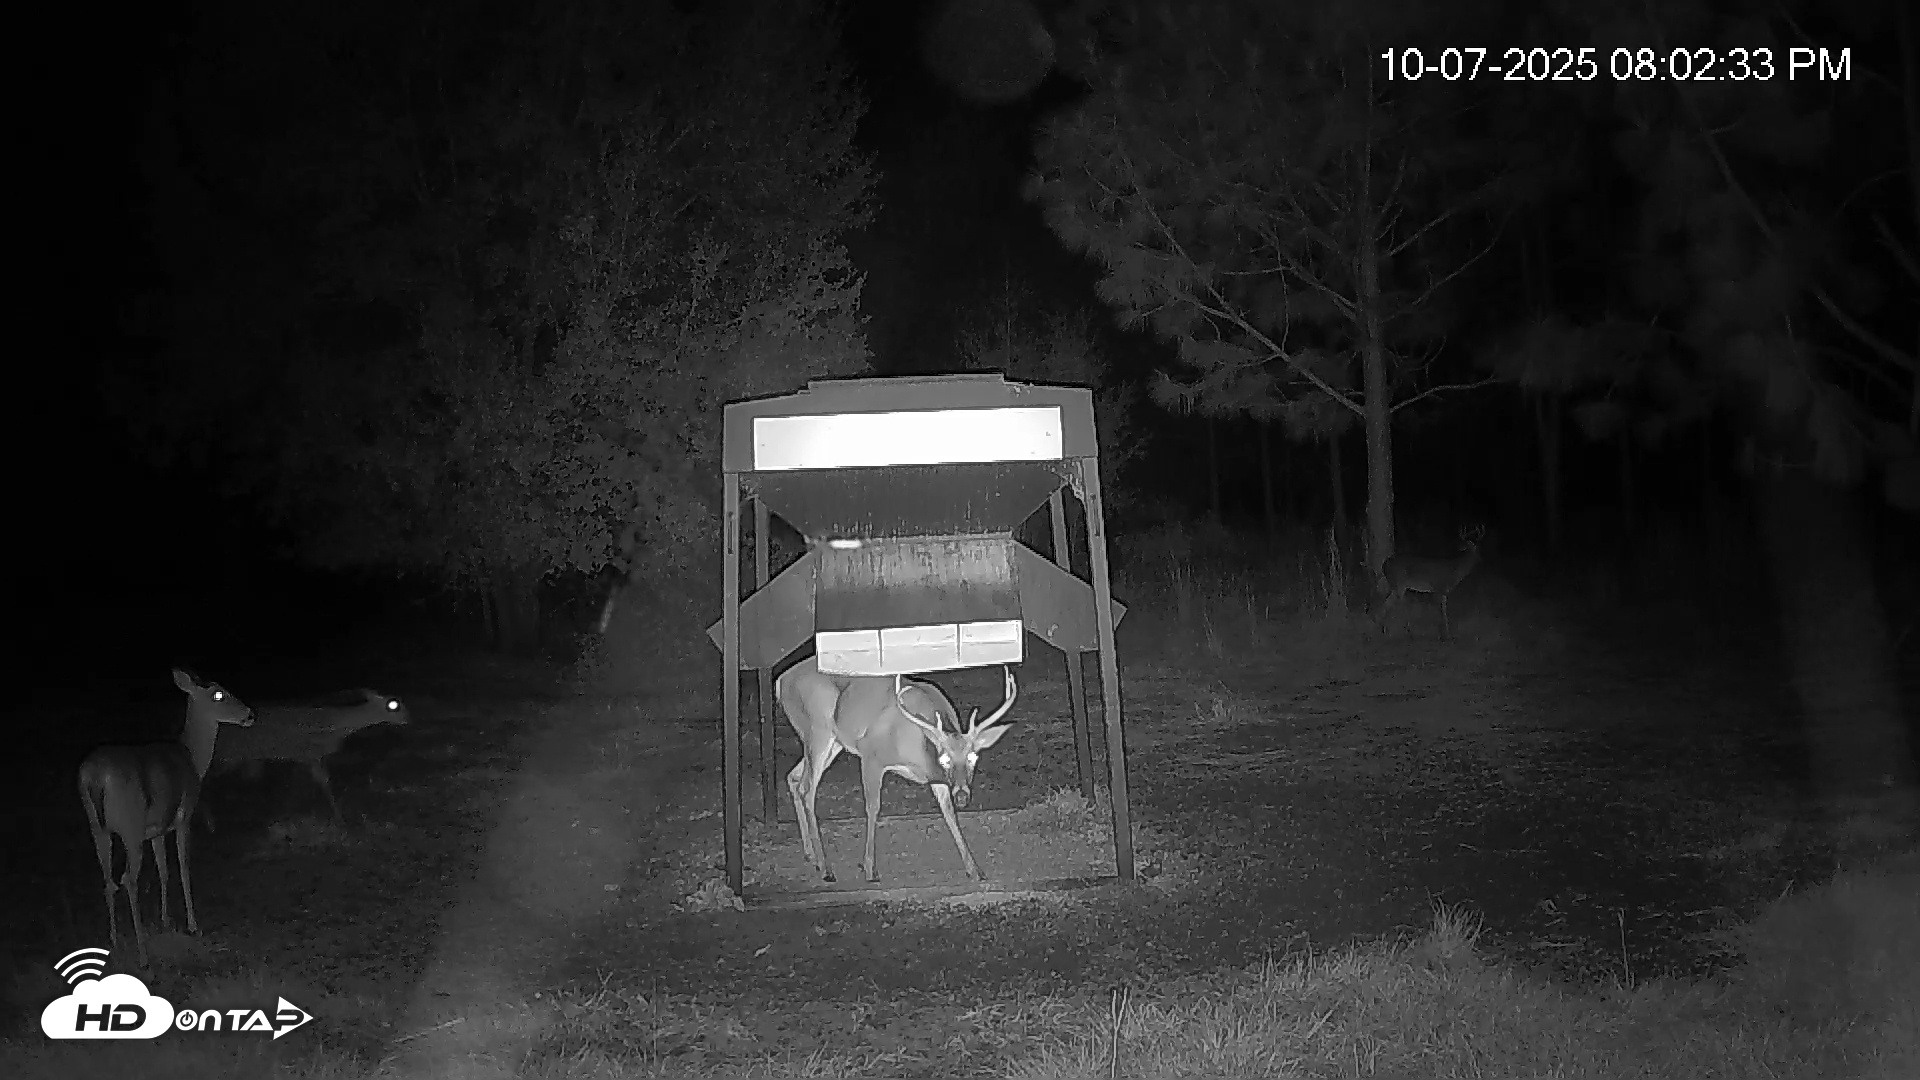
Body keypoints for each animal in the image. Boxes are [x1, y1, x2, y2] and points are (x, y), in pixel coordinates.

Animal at [78, 668, 255, 966]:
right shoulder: (184, 816)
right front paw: (193, 925)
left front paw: (165, 920)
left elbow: (163, 869)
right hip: (130, 826)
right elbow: (183, 865)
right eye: (218, 694)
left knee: (107, 880)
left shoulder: (157, 829)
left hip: (97, 828)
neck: (192, 756)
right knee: (128, 879)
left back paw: (114, 942)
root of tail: (95, 778)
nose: (250, 714)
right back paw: (143, 954)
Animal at [777, 657, 1018, 883]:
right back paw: (826, 868)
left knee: (793, 778)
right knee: (807, 789)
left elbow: (949, 813)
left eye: (973, 757)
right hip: (818, 729)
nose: (962, 795)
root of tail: (781, 680)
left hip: (832, 742)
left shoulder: (937, 780)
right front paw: (870, 870)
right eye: (945, 759)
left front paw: (975, 870)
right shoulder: (871, 754)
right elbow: (873, 808)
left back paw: (811, 855)